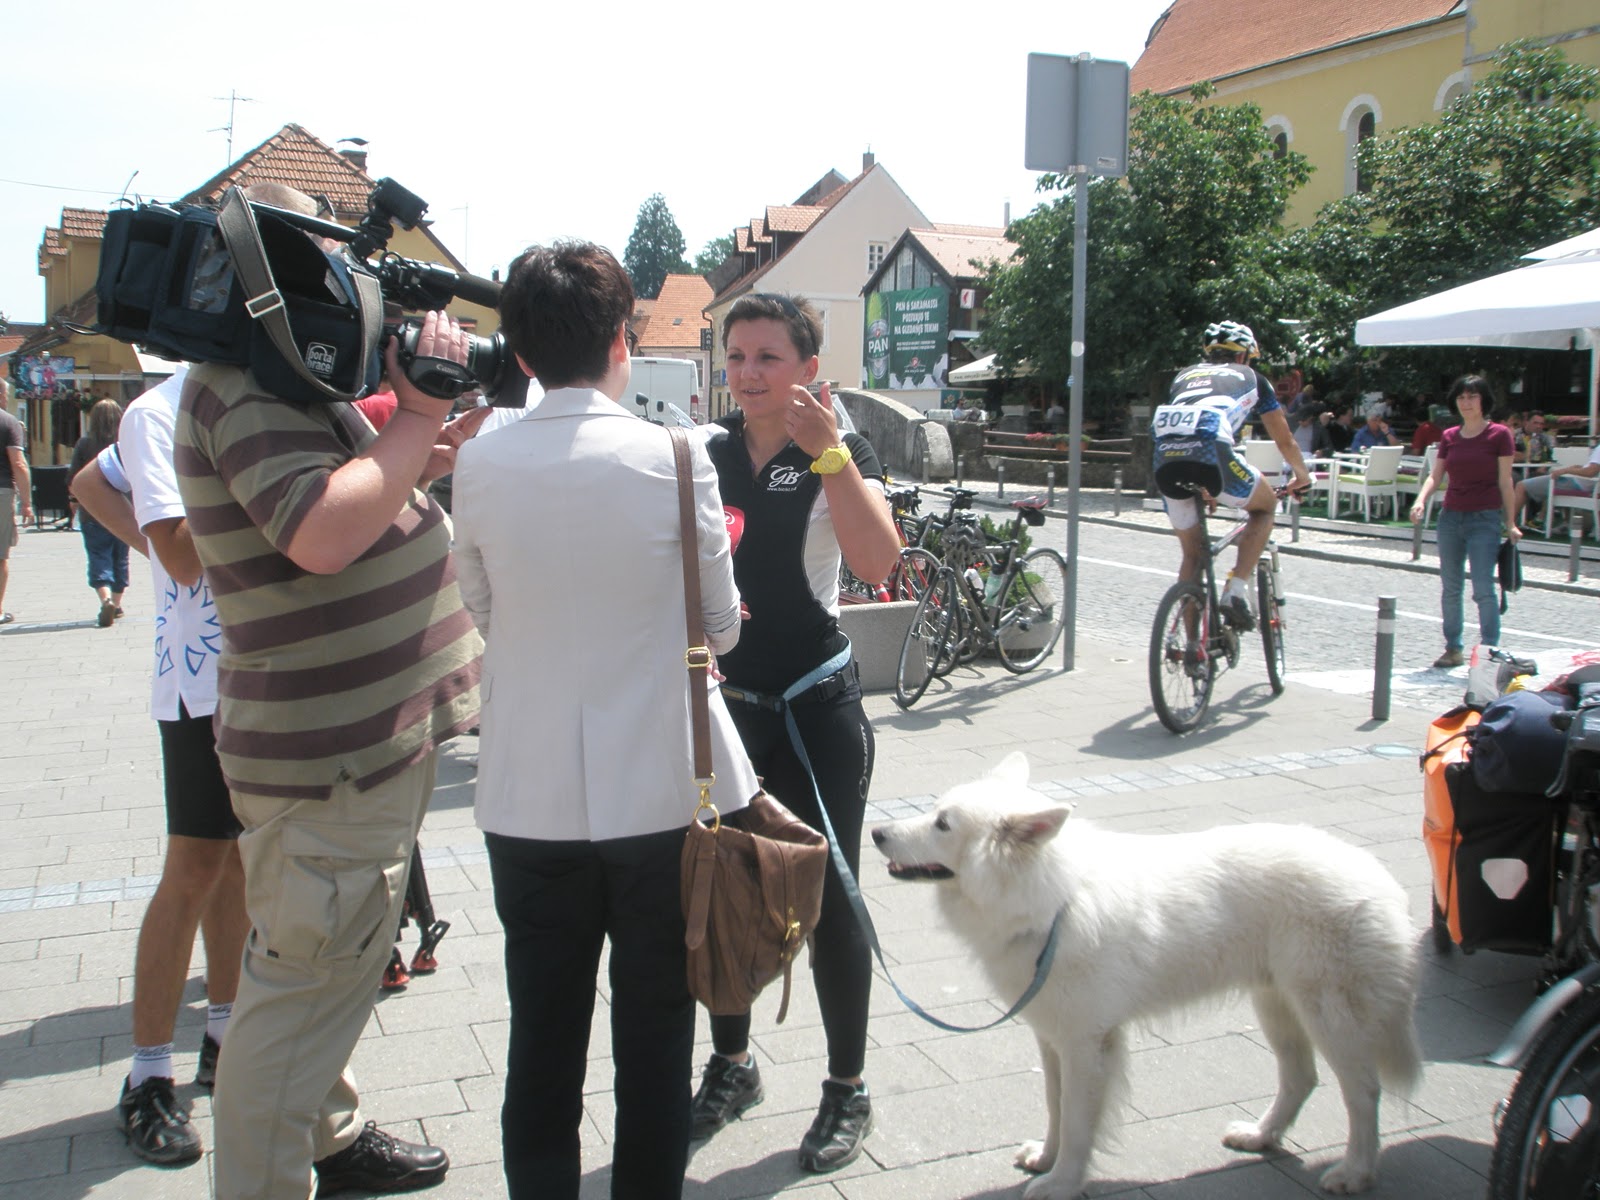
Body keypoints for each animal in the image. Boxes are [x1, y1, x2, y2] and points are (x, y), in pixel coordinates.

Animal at [871, 753, 1421, 1197]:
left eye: (943, 824)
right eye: (935, 811)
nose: (876, 833)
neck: (1051, 902)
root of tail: (1381, 880)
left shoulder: (1088, 1044)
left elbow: (1078, 1122)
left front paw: (1063, 1183)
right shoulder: (1053, 1038)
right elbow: (1055, 1106)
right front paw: (1045, 1160)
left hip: (1328, 1014)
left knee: (1362, 1092)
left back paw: (1354, 1172)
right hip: (1276, 1004)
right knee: (1301, 1078)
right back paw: (1261, 1137)